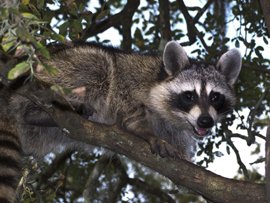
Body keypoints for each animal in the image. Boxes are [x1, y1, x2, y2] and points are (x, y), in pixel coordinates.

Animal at [0, 40, 240, 201]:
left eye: (215, 97)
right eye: (189, 95)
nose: (206, 121)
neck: (174, 114)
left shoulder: (178, 127)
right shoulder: (134, 77)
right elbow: (125, 98)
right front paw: (143, 129)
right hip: (48, 70)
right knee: (99, 63)